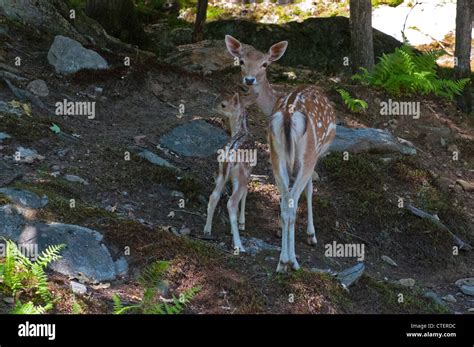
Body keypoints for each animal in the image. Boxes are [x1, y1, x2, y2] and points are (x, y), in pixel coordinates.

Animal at [202, 92, 258, 253]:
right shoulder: (249, 172)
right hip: (240, 174)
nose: (212, 106)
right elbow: (245, 193)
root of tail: (229, 156)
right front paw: (241, 223)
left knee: (213, 196)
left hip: (221, 172)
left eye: (223, 104)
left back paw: (207, 229)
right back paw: (239, 245)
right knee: (231, 202)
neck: (242, 131)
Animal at [225, 36, 336, 274]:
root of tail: (286, 115)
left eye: (265, 64)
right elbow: (310, 190)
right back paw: (291, 261)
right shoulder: (316, 156)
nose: (249, 80)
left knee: (286, 203)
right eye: (241, 61)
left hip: (276, 154)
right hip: (307, 154)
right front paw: (312, 235)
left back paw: (282, 262)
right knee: (292, 203)